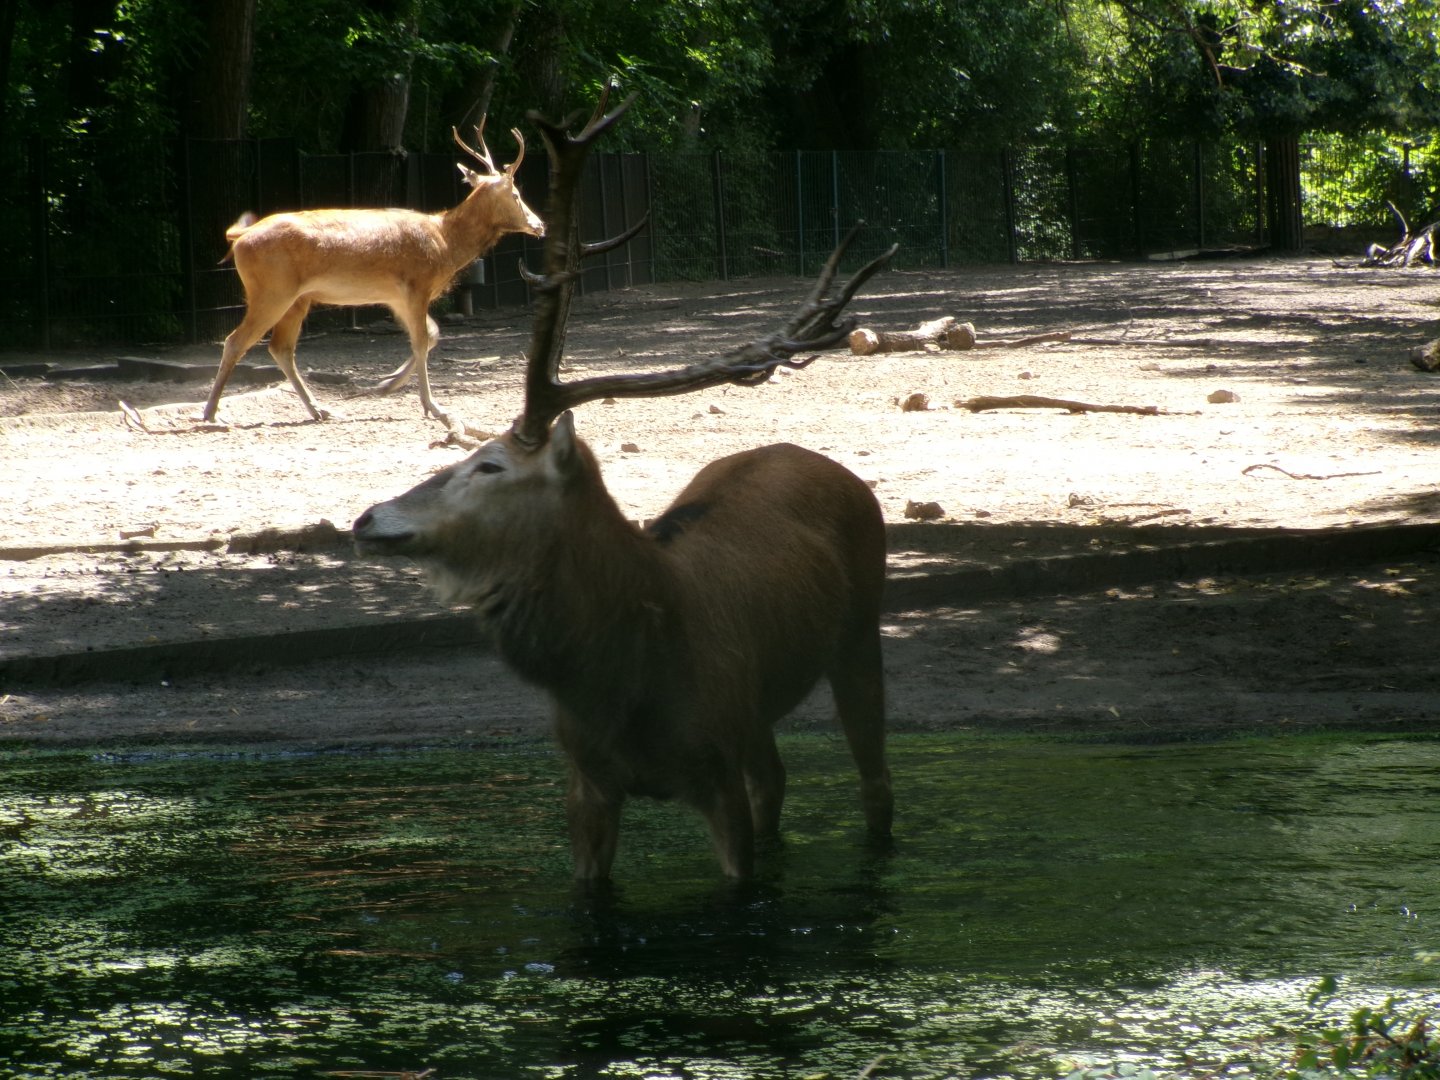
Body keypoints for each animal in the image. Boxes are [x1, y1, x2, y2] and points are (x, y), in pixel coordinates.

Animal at [203, 122, 545, 427]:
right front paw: (433, 407)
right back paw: (211, 412)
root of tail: (240, 239)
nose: (539, 224)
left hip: (297, 299)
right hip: (272, 291)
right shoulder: (416, 285)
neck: (445, 244)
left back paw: (321, 410)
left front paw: (387, 383)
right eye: (516, 194)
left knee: (280, 348)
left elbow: (431, 334)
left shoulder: (395, 297)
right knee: (235, 341)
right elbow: (422, 340)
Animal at [352, 86, 898, 884]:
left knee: (875, 780)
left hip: (859, 632)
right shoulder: (585, 780)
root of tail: (828, 463)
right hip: (759, 711)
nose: (368, 517)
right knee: (777, 781)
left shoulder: (715, 767)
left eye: (490, 464)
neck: (623, 684)